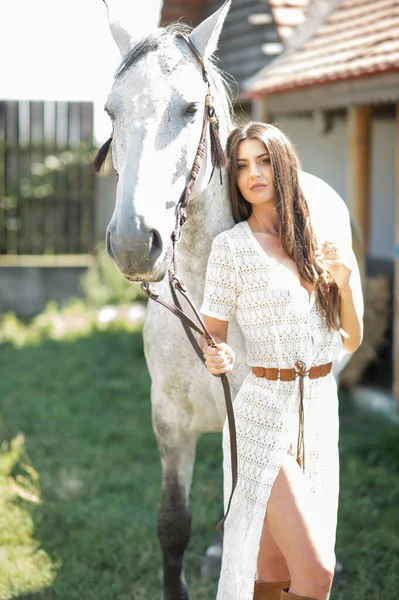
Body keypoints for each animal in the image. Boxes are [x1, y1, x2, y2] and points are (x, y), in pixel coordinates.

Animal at [99, 2, 362, 596]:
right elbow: (173, 524)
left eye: (190, 108)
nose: (134, 243)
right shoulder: (169, 421)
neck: (204, 299)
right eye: (110, 110)